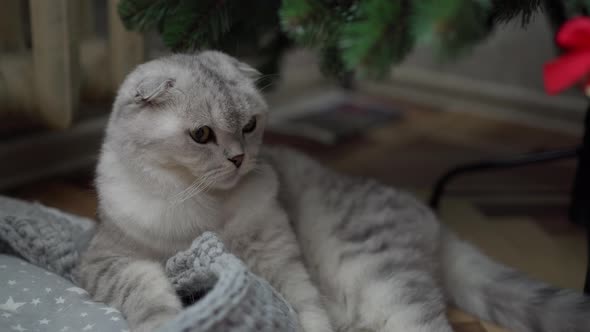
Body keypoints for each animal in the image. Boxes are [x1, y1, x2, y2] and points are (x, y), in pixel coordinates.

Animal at [78, 51, 336, 332]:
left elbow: (307, 301)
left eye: (250, 125)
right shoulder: (106, 260)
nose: (238, 158)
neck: (208, 202)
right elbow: (147, 290)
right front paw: (168, 322)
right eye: (201, 134)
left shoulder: (276, 252)